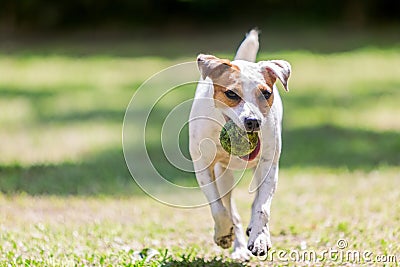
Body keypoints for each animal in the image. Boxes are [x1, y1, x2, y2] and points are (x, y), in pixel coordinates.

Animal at [189, 29, 292, 262]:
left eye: (266, 93)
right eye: (231, 94)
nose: (253, 121)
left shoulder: (269, 165)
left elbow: (262, 207)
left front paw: (260, 238)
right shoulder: (203, 167)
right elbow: (218, 208)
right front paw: (222, 235)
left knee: (256, 203)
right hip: (224, 176)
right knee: (230, 208)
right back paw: (237, 246)